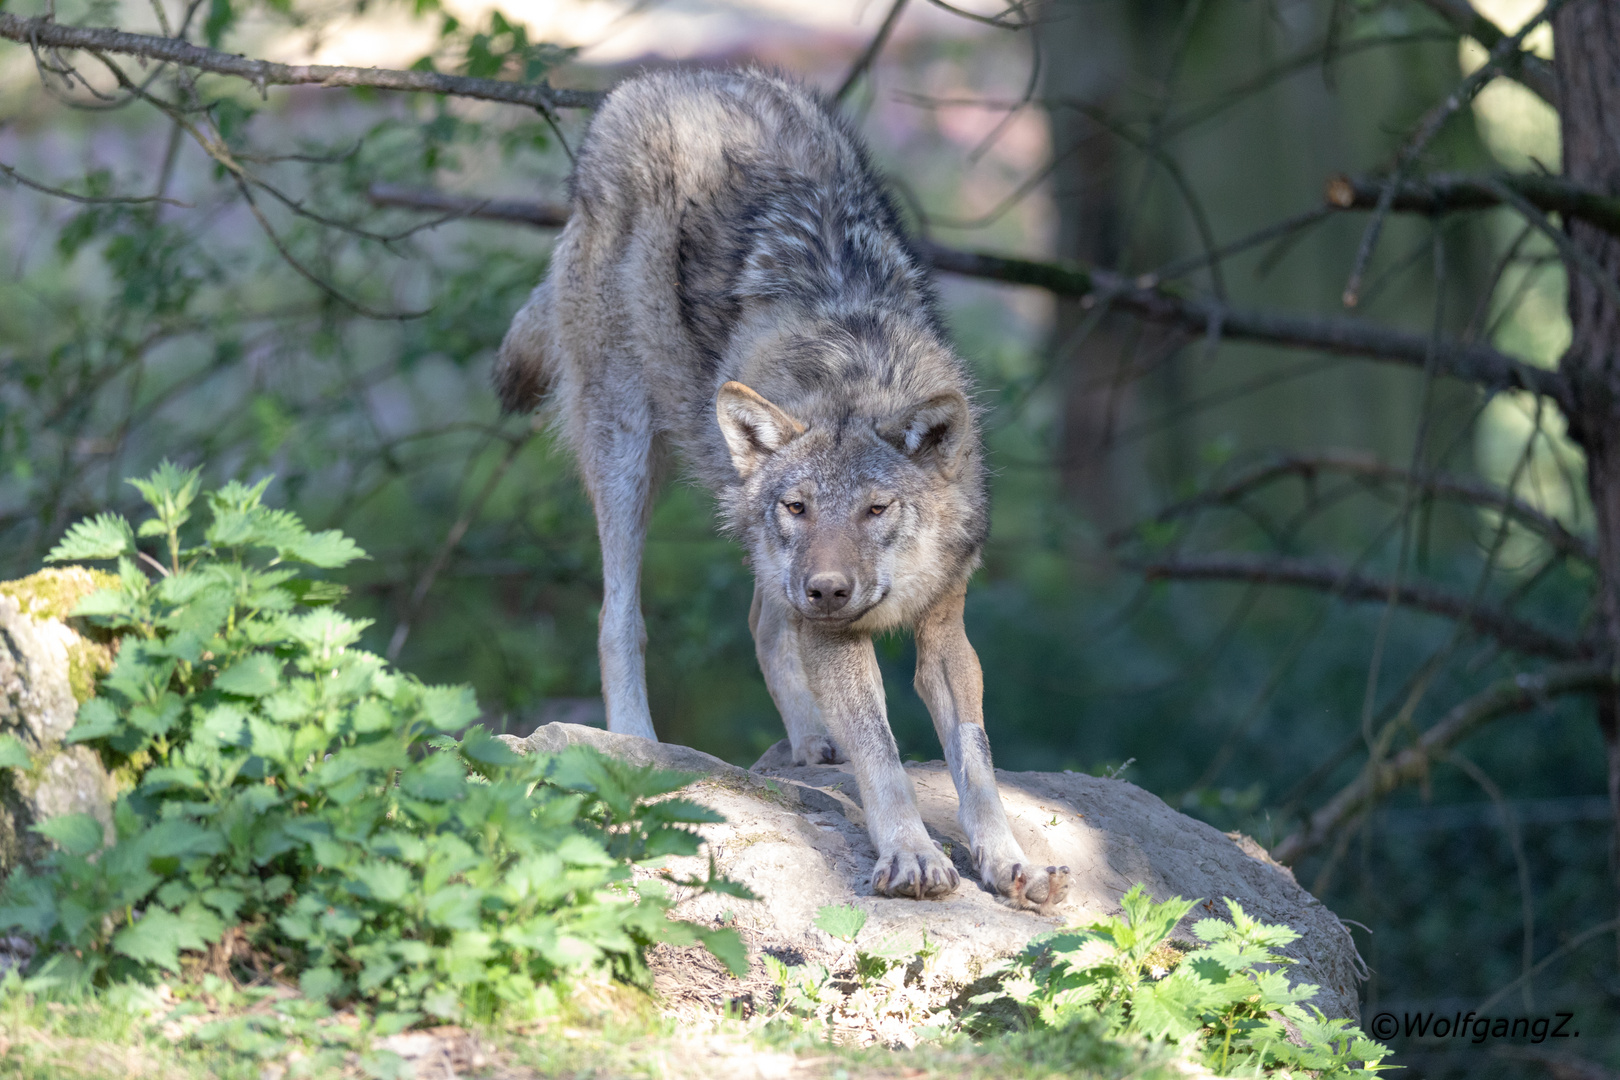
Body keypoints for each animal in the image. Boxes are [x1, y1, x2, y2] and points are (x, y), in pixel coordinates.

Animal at [498, 69, 1069, 913]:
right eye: (799, 506)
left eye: (875, 509)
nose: (828, 588)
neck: (858, 377)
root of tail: (654, 80)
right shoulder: (834, 633)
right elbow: (884, 754)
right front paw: (911, 855)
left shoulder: (944, 631)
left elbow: (977, 763)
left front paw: (1008, 861)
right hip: (630, 453)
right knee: (619, 615)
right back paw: (636, 741)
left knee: (764, 619)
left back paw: (809, 742)